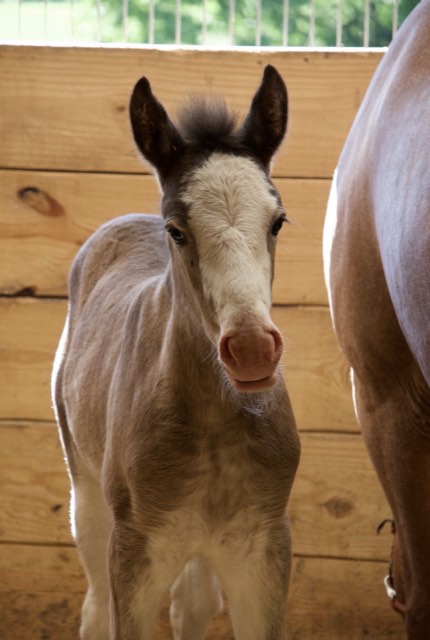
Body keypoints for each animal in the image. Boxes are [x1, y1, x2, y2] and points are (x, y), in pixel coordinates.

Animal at [52, 65, 300, 640]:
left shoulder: (262, 553)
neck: (216, 428)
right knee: (95, 608)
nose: (252, 350)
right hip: (88, 497)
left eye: (277, 221)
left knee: (192, 604)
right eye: (177, 231)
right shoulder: (136, 553)